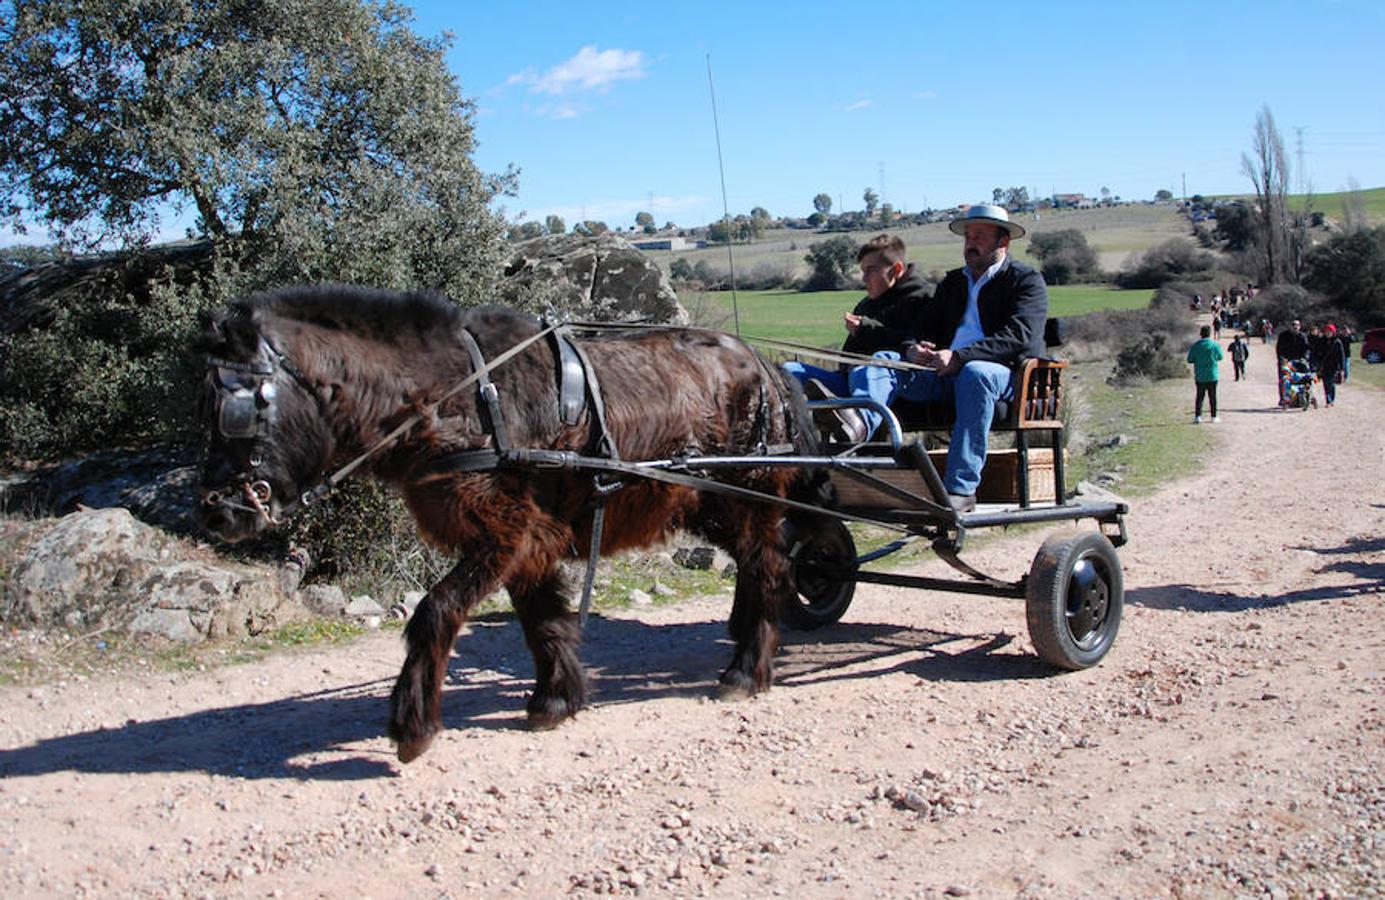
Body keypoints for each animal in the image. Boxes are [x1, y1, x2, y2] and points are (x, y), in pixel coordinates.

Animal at [195, 283, 819, 758]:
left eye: (235, 410)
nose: (217, 509)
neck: (456, 398)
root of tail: (763, 365)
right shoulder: (529, 541)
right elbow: (541, 621)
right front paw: (556, 700)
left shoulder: (506, 536)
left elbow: (436, 611)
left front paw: (413, 725)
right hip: (709, 504)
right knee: (755, 566)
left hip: (746, 496)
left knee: (767, 567)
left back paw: (746, 670)